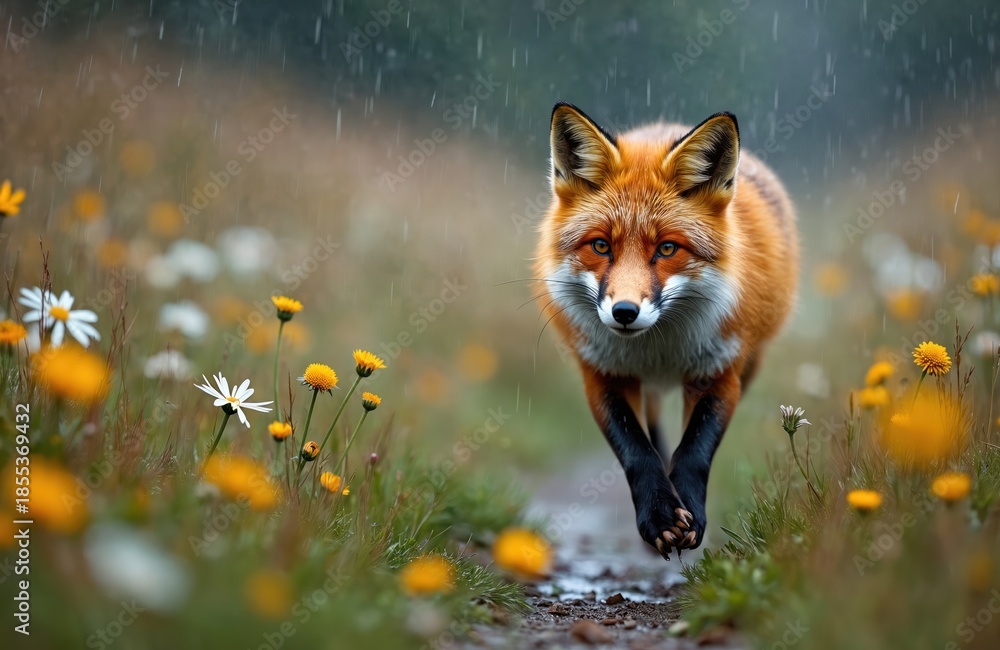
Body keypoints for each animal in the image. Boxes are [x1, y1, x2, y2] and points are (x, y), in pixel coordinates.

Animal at [534, 103, 798, 559]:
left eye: (667, 248)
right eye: (601, 246)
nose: (624, 312)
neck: (659, 349)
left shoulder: (720, 373)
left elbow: (695, 449)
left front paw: (688, 509)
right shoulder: (603, 375)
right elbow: (636, 450)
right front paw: (659, 515)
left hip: (750, 363)